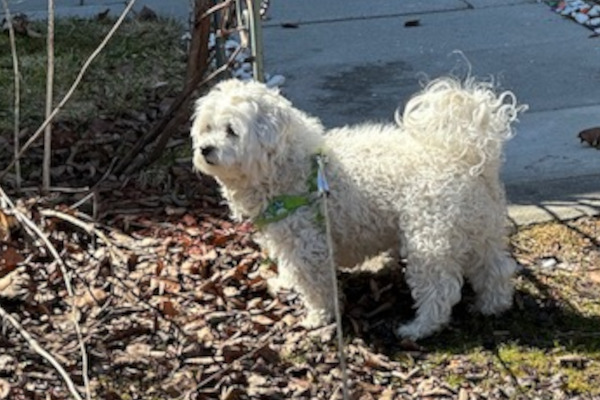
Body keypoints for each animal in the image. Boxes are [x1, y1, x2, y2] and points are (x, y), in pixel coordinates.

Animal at [192, 76, 524, 340]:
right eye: (207, 128)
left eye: (231, 130)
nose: (205, 149)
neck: (292, 165)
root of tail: (466, 158)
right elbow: (290, 269)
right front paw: (284, 283)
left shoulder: (309, 244)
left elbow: (316, 286)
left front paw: (318, 317)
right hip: (480, 230)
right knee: (495, 269)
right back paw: (492, 306)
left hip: (429, 240)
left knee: (440, 290)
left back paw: (419, 328)